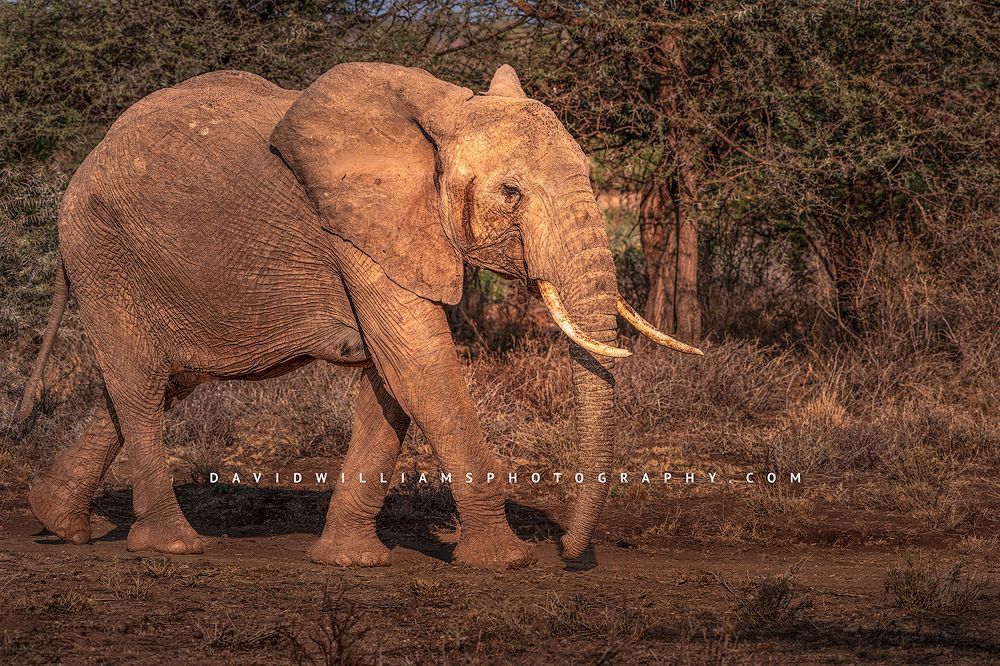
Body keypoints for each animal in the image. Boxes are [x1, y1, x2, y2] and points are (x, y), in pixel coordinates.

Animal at [17, 62, 701, 568]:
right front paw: (505, 562)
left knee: (159, 381)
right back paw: (174, 545)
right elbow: (421, 366)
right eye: (511, 193)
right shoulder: (358, 228)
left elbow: (390, 380)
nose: (565, 551)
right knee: (138, 382)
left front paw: (350, 562)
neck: (445, 112)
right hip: (105, 253)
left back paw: (59, 522)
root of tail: (84, 164)